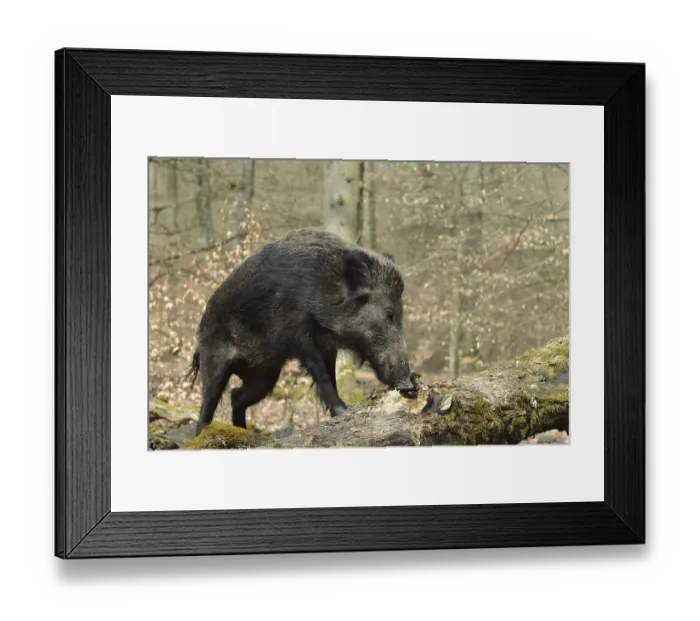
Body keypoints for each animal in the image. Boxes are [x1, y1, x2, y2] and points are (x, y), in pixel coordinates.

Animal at [186, 228, 414, 436]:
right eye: (389, 314)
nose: (409, 385)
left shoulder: (327, 345)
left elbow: (330, 374)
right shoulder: (298, 333)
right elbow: (320, 372)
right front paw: (343, 410)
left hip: (264, 375)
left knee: (236, 396)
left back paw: (242, 431)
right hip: (214, 360)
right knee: (208, 401)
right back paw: (203, 434)